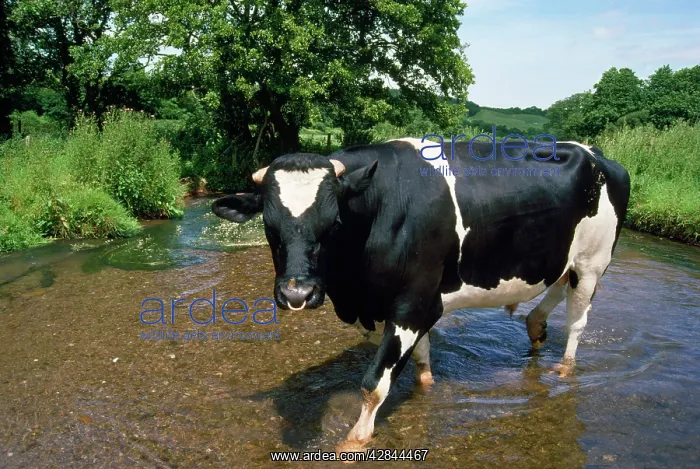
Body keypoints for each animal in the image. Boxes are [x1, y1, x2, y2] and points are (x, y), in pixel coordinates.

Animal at [211, 137, 631, 453]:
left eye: (334, 223)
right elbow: (422, 355)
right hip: (564, 258)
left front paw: (355, 440)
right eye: (269, 226)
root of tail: (596, 153)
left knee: (577, 320)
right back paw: (535, 326)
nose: (297, 292)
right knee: (556, 288)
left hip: (593, 261)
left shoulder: (411, 303)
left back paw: (565, 366)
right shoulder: (404, 303)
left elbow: (374, 383)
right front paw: (427, 384)